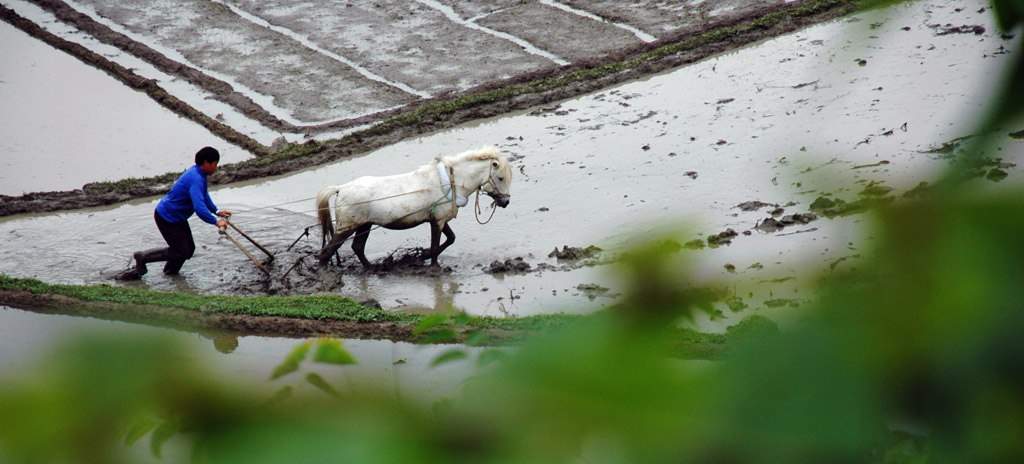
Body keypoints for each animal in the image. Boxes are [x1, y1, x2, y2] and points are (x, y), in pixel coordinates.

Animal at [313, 144, 512, 268]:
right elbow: (435, 247)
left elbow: (451, 239)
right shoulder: (437, 221)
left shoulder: (439, 219)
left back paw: (371, 268)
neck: (448, 181)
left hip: (364, 225)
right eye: (500, 177)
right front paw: (433, 266)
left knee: (357, 248)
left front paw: (423, 256)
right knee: (327, 252)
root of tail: (340, 189)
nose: (506, 202)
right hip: (347, 227)